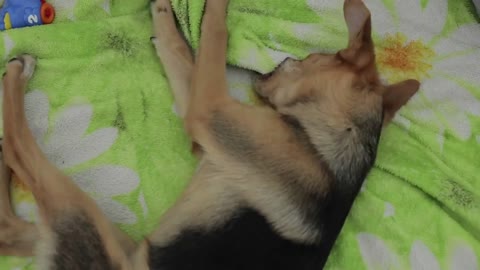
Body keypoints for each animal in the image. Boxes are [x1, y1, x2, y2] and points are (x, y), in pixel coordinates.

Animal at [0, 0, 418, 268]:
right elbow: (186, 57)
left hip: (88, 227)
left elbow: (215, 34)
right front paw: (166, 18)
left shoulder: (211, 112)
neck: (328, 143)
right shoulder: (207, 134)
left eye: (303, 58)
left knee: (22, 151)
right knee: (12, 230)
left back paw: (17, 76)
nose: (270, 69)